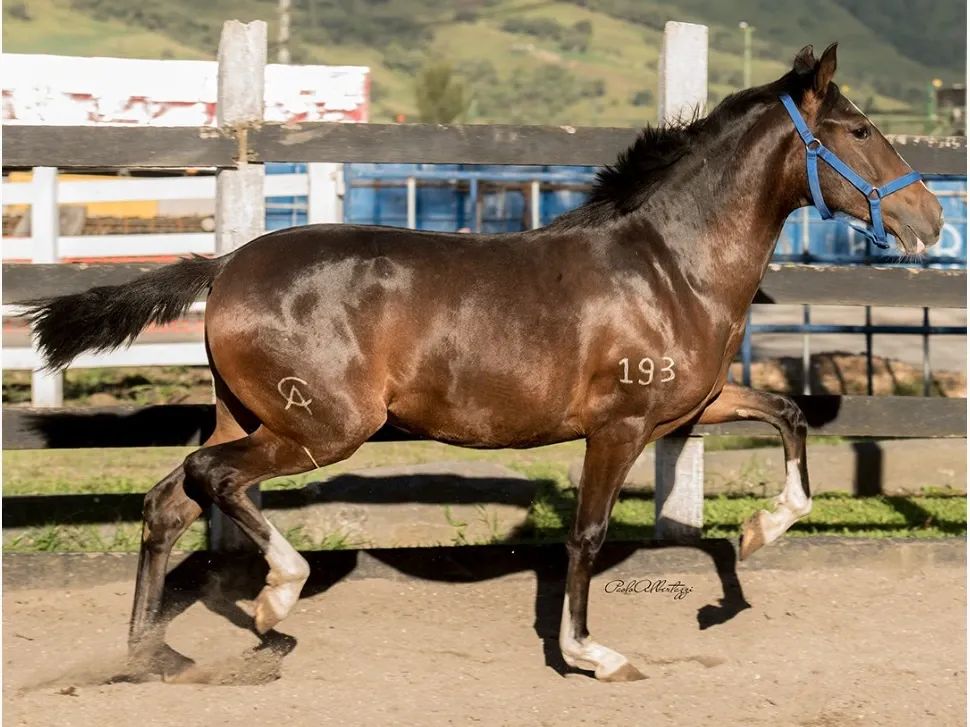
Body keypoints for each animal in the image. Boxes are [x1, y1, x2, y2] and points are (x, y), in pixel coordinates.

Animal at [25, 42, 942, 683]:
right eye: (860, 131)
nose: (930, 220)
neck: (670, 266)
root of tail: (224, 266)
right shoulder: (620, 426)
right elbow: (586, 534)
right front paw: (591, 655)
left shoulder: (689, 408)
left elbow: (787, 416)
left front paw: (756, 537)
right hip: (323, 426)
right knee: (212, 479)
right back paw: (275, 593)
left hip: (250, 413)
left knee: (169, 500)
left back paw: (152, 655)